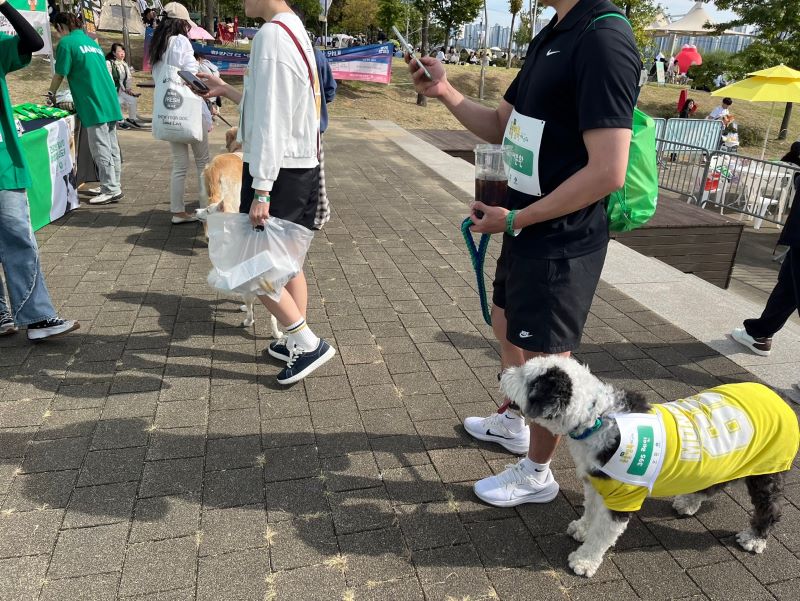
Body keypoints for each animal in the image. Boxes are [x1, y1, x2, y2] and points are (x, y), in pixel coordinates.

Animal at [504, 356, 796, 576]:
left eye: (526, 377)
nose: (500, 375)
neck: (598, 418)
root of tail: (777, 396)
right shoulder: (598, 483)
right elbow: (591, 510)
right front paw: (582, 529)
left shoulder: (622, 499)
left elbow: (603, 535)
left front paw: (584, 561)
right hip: (727, 462)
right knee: (713, 484)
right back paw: (688, 502)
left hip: (767, 473)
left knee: (771, 508)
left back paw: (754, 539)